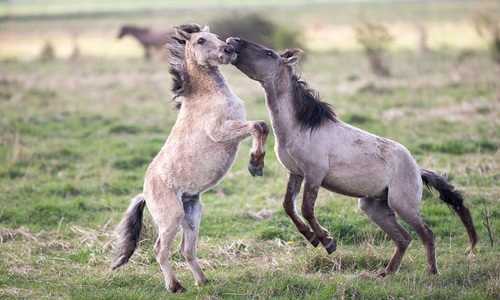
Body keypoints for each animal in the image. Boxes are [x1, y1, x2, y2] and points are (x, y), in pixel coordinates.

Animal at [111, 25, 270, 292]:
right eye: (201, 40)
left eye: (217, 37)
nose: (229, 50)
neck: (207, 95)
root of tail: (145, 193)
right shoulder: (221, 131)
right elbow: (258, 126)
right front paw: (255, 163)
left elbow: (263, 126)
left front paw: (257, 164)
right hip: (172, 217)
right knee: (160, 249)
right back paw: (176, 286)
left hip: (193, 213)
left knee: (186, 249)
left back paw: (203, 281)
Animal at [227, 37, 476, 276]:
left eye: (269, 53)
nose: (233, 41)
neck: (299, 126)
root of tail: (417, 169)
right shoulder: (295, 173)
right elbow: (289, 206)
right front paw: (313, 238)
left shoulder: (315, 174)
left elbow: (307, 208)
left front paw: (327, 241)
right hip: (374, 207)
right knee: (404, 238)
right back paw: (387, 272)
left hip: (402, 205)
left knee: (427, 234)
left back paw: (432, 272)